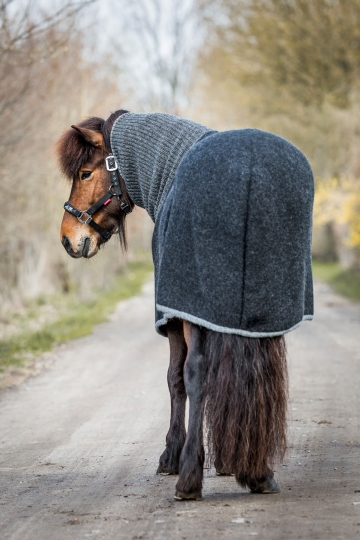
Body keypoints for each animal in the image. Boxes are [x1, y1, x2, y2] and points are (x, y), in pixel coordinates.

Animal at [56, 109, 312, 502]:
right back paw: (259, 473)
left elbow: (176, 378)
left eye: (85, 173)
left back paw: (190, 477)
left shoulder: (176, 315)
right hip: (267, 311)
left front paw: (172, 456)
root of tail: (250, 172)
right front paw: (227, 461)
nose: (68, 238)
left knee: (196, 373)